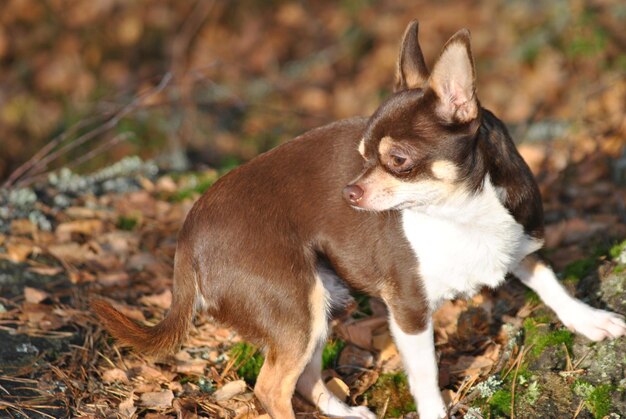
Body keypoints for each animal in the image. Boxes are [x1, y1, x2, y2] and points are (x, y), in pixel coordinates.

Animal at [92, 20, 624, 419]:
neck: (460, 213)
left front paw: (590, 319)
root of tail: (186, 237)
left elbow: (550, 281)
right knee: (271, 387)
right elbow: (426, 377)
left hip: (322, 299)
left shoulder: (519, 242)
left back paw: (346, 412)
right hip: (295, 304)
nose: (349, 191)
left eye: (397, 160)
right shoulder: (408, 309)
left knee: (303, 378)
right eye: (363, 155)